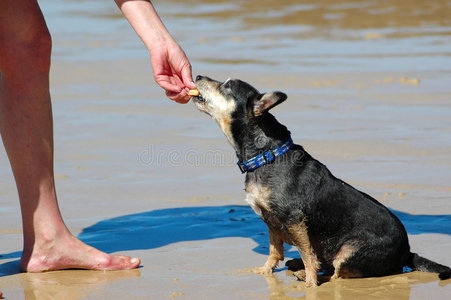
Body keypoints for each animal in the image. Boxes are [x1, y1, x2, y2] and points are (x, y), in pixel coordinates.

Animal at [192, 76, 451, 288]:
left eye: (227, 86)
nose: (198, 75)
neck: (265, 155)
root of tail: (407, 252)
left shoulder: (293, 219)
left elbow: (307, 254)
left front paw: (310, 283)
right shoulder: (271, 221)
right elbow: (275, 251)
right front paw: (265, 271)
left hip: (349, 252)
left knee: (337, 274)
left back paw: (306, 274)